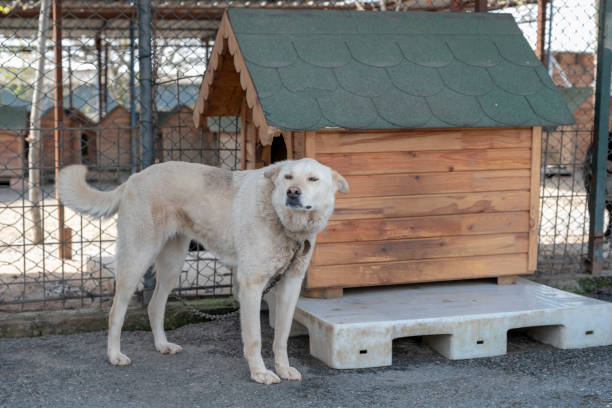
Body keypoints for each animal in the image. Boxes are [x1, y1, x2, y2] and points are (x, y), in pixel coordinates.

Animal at [57, 159, 350, 382]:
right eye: (288, 177)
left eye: (313, 179)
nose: (292, 192)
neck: (284, 222)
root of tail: (134, 178)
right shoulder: (252, 284)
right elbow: (255, 338)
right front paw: (259, 373)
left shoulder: (291, 285)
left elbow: (281, 336)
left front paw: (283, 368)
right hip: (137, 260)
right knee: (115, 312)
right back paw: (114, 356)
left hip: (172, 267)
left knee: (155, 306)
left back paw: (162, 346)